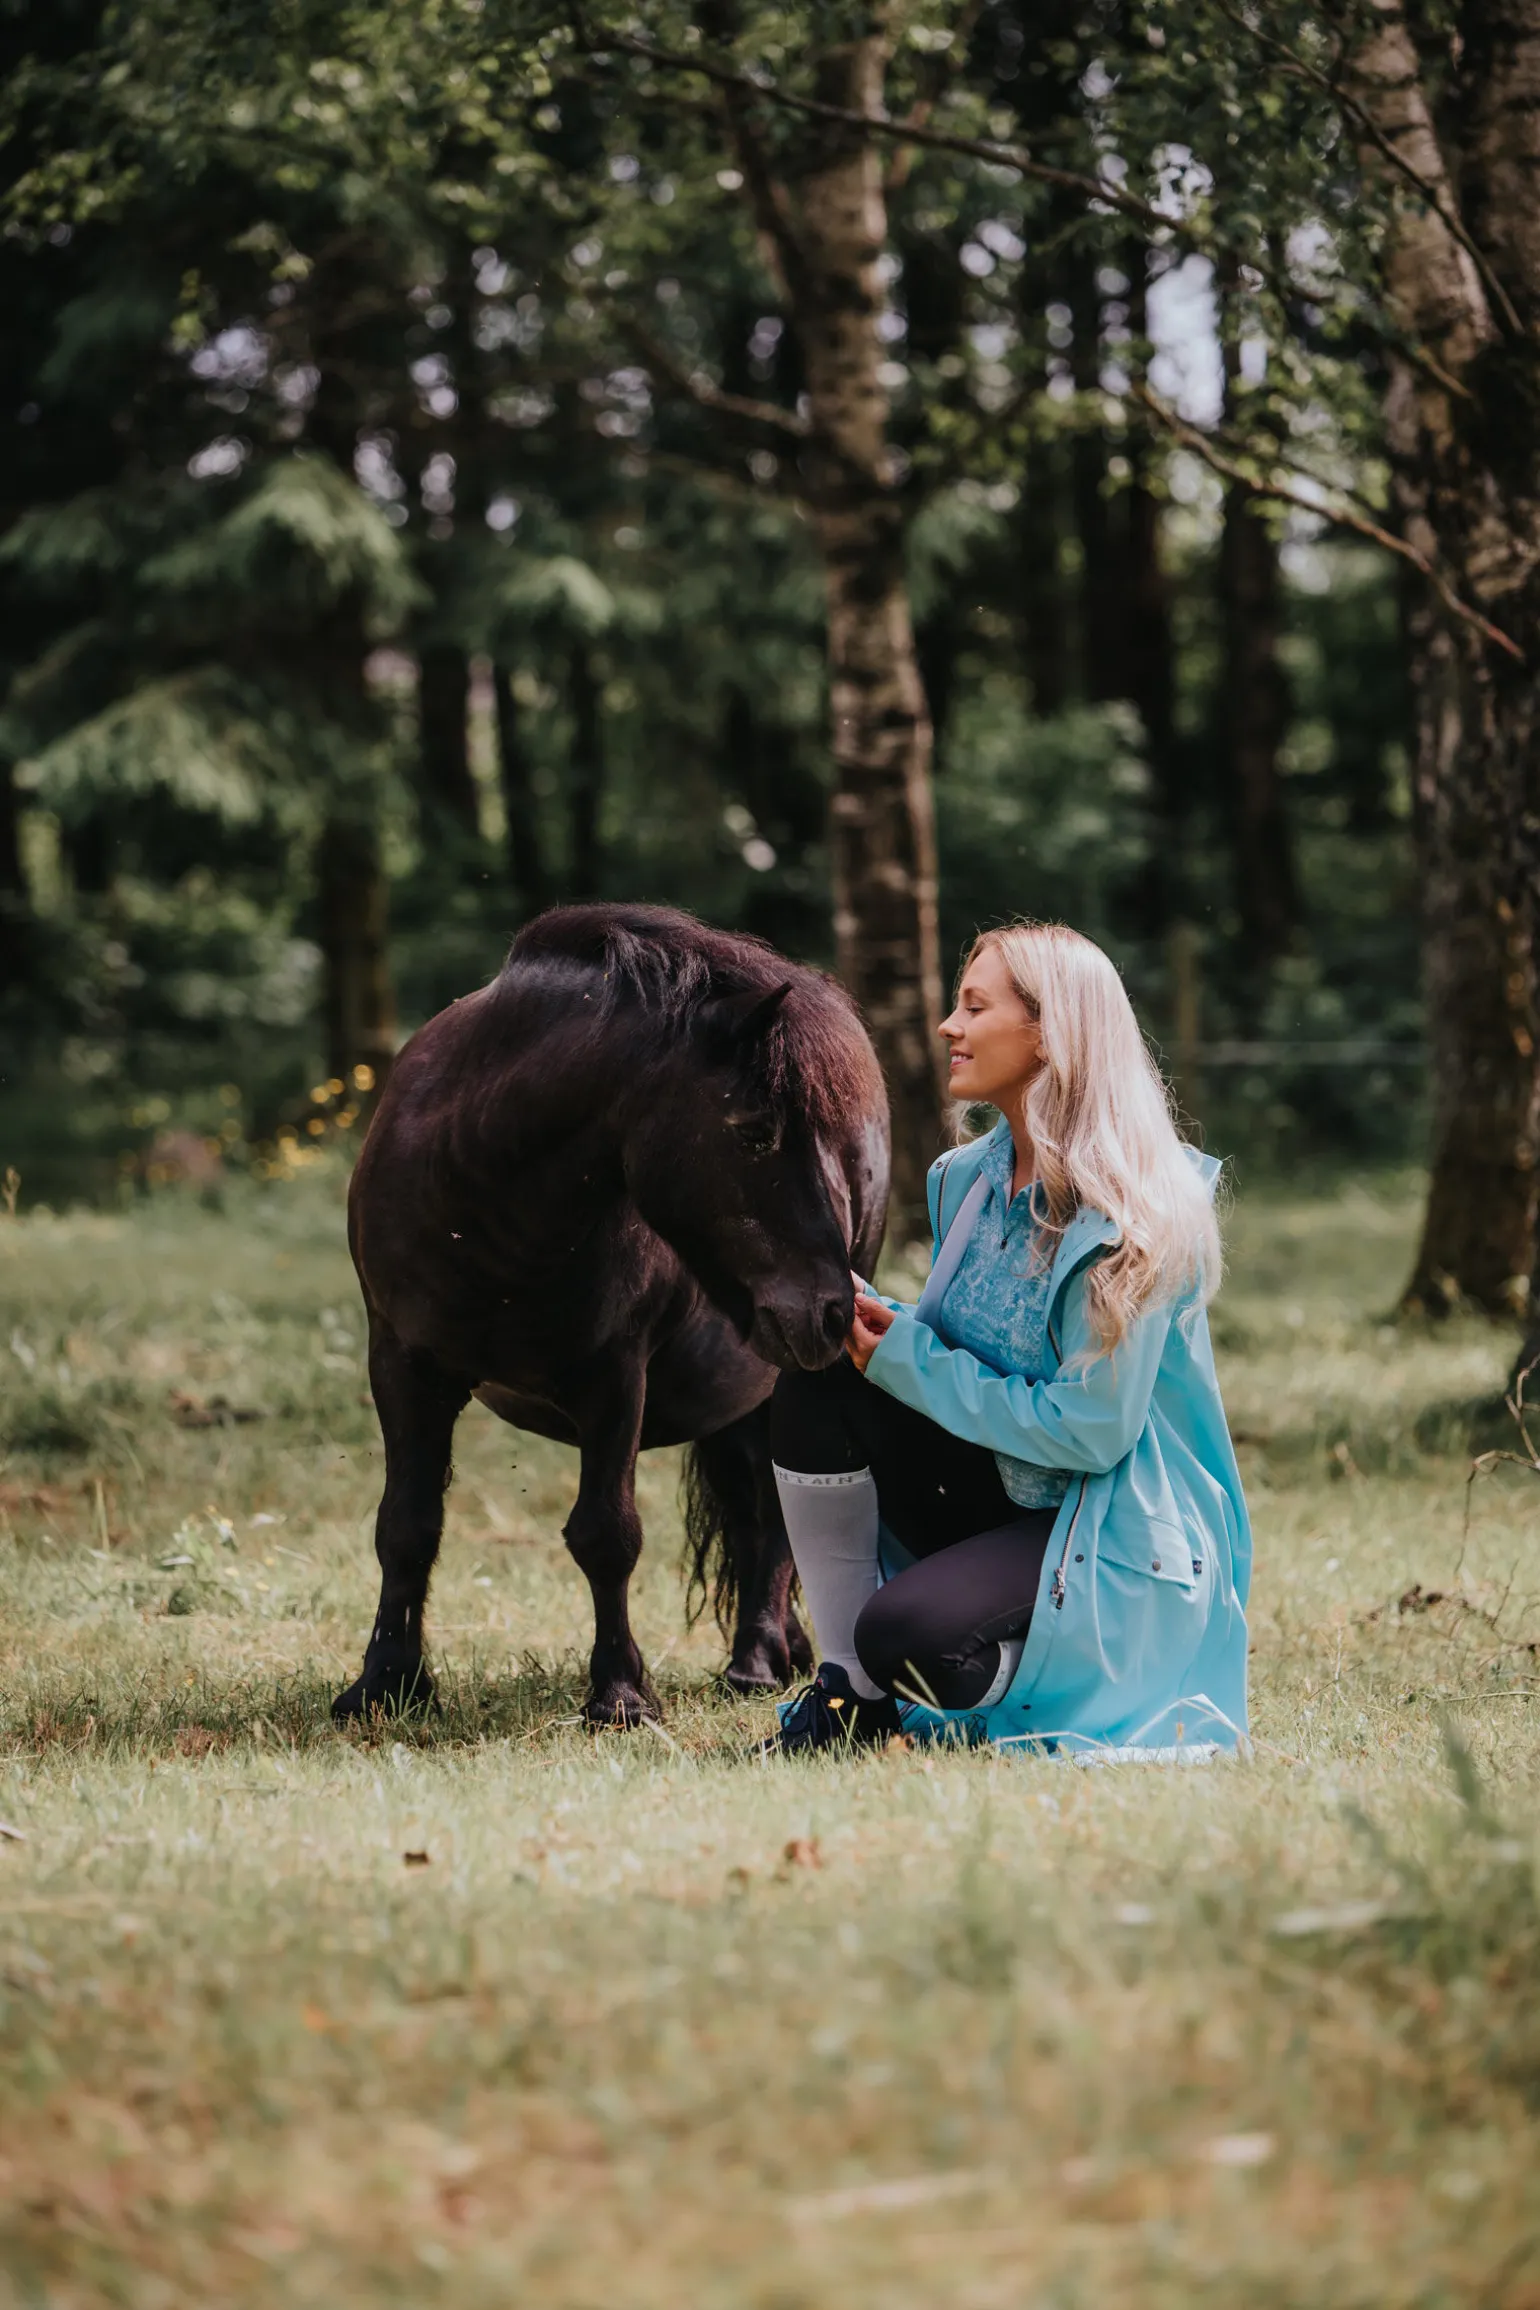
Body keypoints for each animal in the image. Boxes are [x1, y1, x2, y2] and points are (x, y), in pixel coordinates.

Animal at [333, 903, 890, 1728]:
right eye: (755, 1129)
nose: (831, 1311)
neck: (482, 1194)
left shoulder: (614, 1378)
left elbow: (606, 1534)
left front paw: (621, 1694)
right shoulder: (402, 1366)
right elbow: (405, 1526)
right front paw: (384, 1683)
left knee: (776, 1515)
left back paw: (756, 1660)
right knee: (755, 1508)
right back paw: (776, 1649)